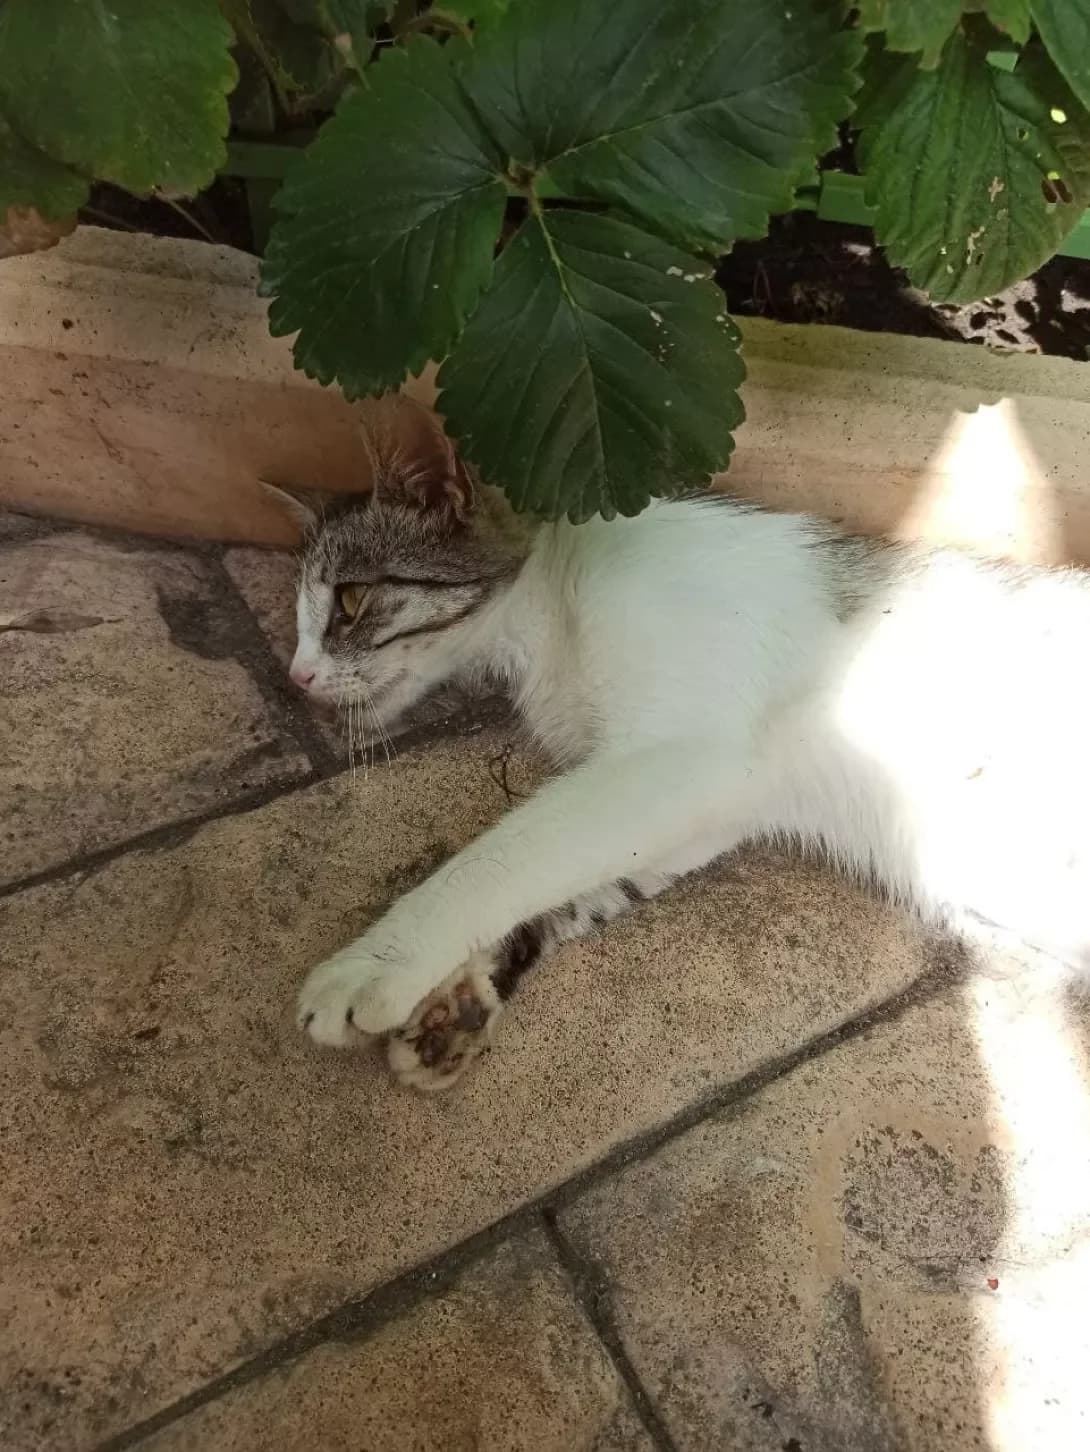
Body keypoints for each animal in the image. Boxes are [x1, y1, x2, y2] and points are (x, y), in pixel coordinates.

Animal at [266, 394, 1090, 1092]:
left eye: (350, 601)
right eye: (301, 618)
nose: (296, 675)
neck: (546, 621)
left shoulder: (676, 756)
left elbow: (501, 856)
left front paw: (375, 961)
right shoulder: (699, 807)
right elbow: (563, 883)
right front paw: (457, 998)